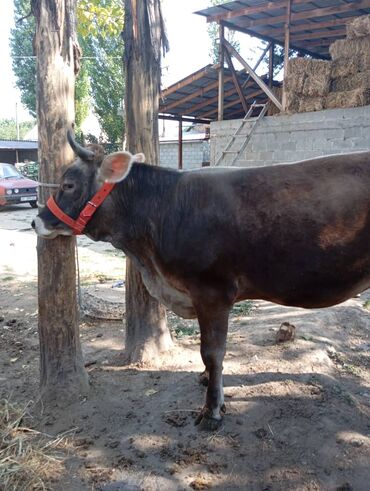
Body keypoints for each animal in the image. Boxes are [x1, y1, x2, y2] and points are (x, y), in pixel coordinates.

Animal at [31, 133, 370, 428]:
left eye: (68, 184)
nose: (36, 221)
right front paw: (207, 380)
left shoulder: (212, 293)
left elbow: (212, 351)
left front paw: (212, 409)